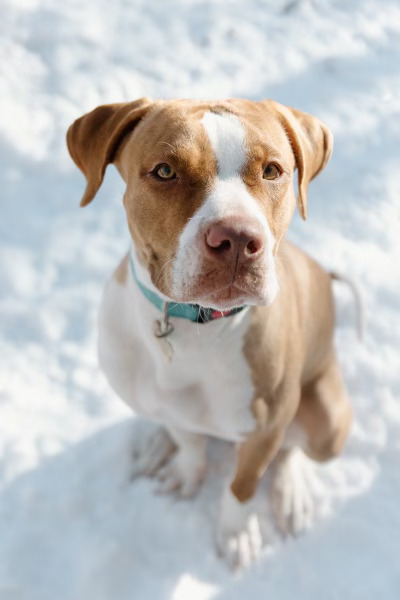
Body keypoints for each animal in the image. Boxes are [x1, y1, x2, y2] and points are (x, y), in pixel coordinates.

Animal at [67, 97, 352, 568]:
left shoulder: (265, 430)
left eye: (272, 170)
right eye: (165, 171)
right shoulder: (176, 407)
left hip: (327, 420)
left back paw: (292, 494)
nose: (237, 238)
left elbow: (243, 485)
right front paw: (185, 471)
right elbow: (190, 442)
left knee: (293, 448)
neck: (192, 325)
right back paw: (155, 445)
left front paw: (236, 534)